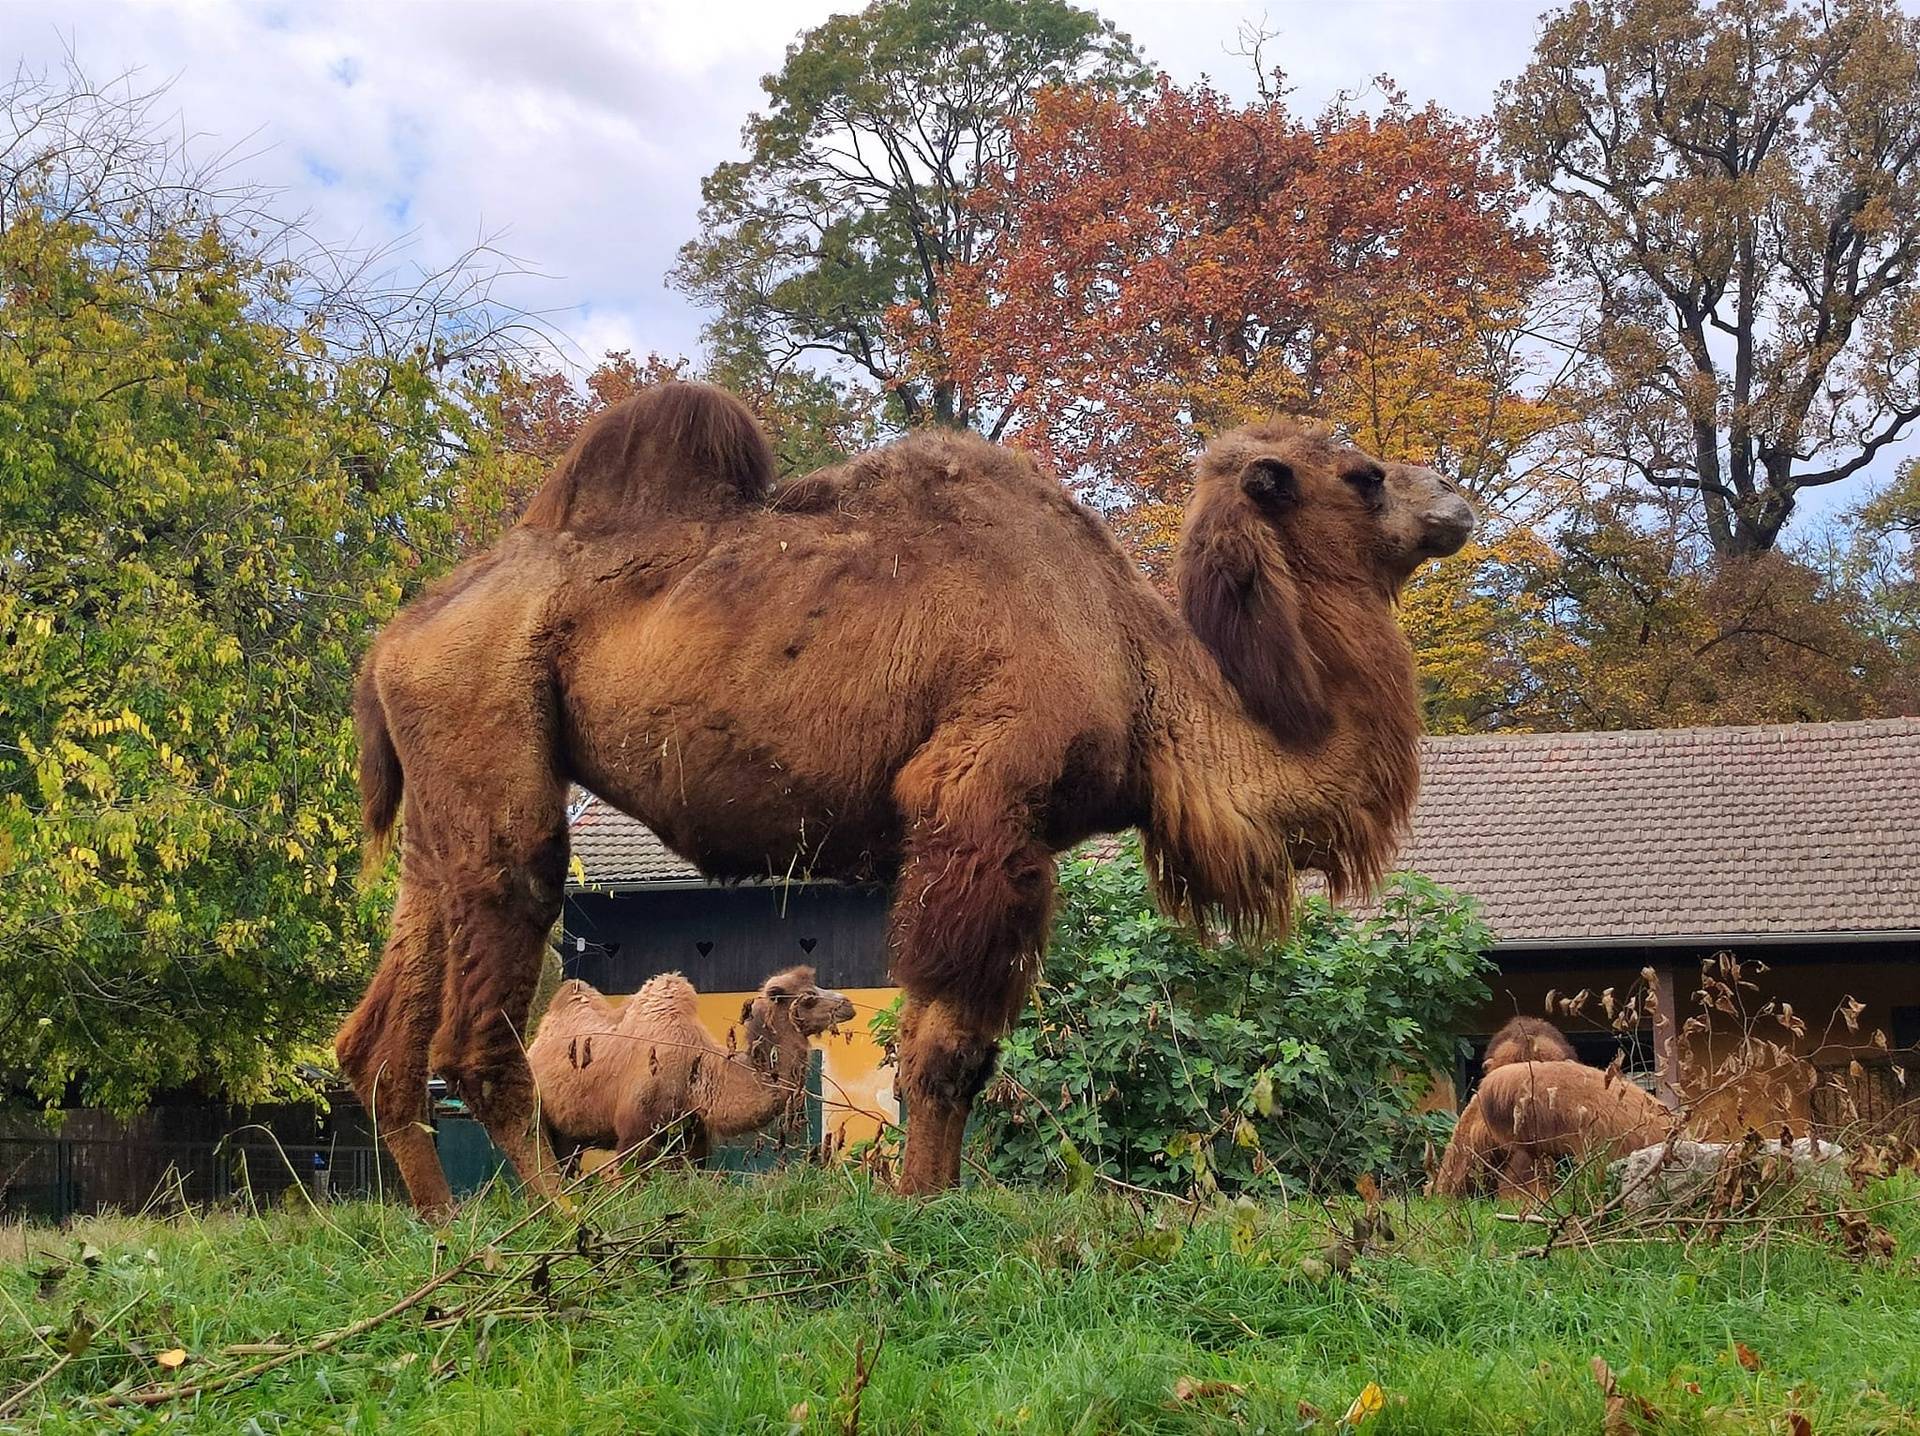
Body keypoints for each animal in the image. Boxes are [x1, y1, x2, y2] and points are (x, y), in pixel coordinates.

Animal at [334, 382, 1466, 1213]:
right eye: (1362, 474)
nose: (1453, 502)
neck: (1140, 670)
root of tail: (392, 641)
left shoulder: (1007, 840)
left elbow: (968, 1046)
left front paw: (944, 1194)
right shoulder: (975, 800)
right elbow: (945, 1048)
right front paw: (924, 1206)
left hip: (443, 806)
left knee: (383, 1030)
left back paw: (438, 1219)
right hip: (497, 756)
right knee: (480, 1015)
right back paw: (558, 1218)